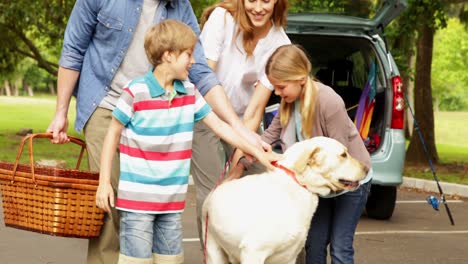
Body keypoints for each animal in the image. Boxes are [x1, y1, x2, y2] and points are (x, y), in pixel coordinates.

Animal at [203, 137, 368, 262]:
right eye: (343, 155)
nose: (367, 169)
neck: (297, 185)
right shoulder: (253, 252)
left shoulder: (289, 257)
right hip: (213, 250)